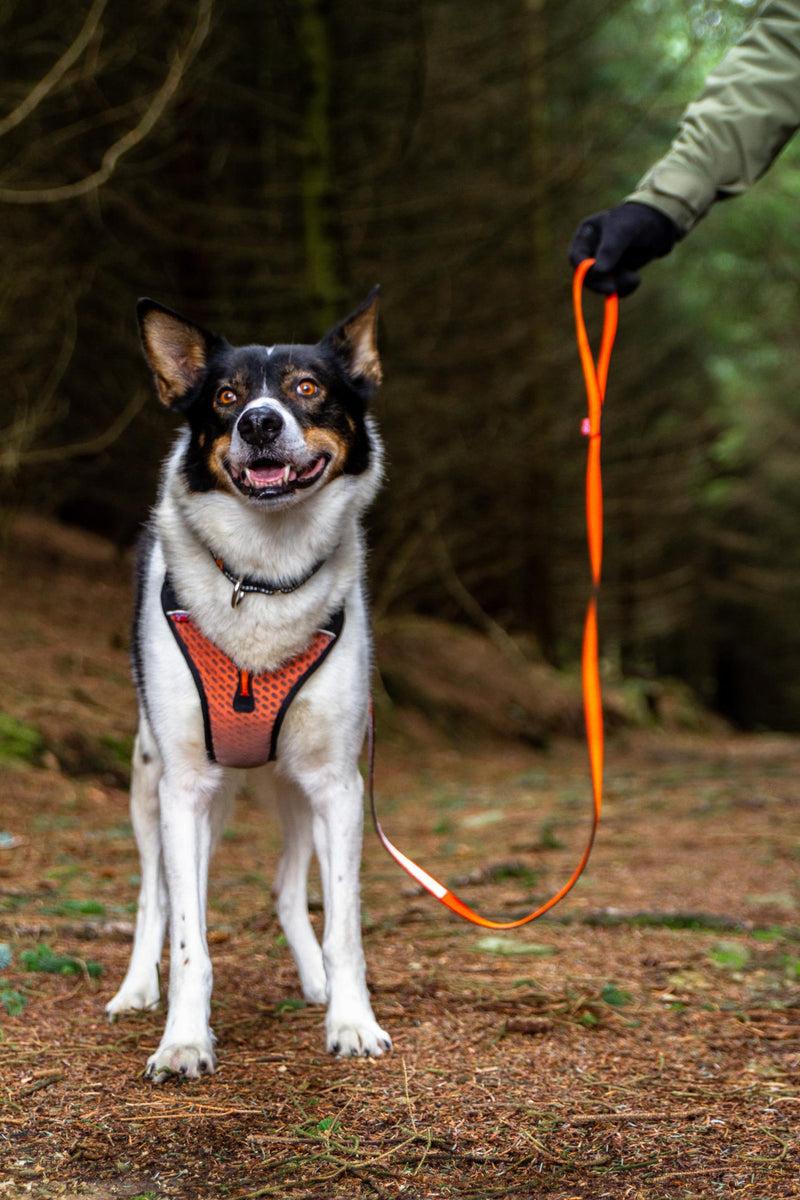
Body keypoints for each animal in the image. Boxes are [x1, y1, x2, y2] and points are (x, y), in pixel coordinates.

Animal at [104, 288, 393, 1080]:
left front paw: (350, 1020)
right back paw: (137, 990)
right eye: (226, 398)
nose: (260, 423)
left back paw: (316, 981)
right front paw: (182, 1040)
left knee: (289, 889)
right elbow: (187, 936)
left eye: (307, 388)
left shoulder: (337, 784)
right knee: (157, 895)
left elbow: (345, 926)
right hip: (151, 782)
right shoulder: (184, 788)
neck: (263, 578)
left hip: (294, 792)